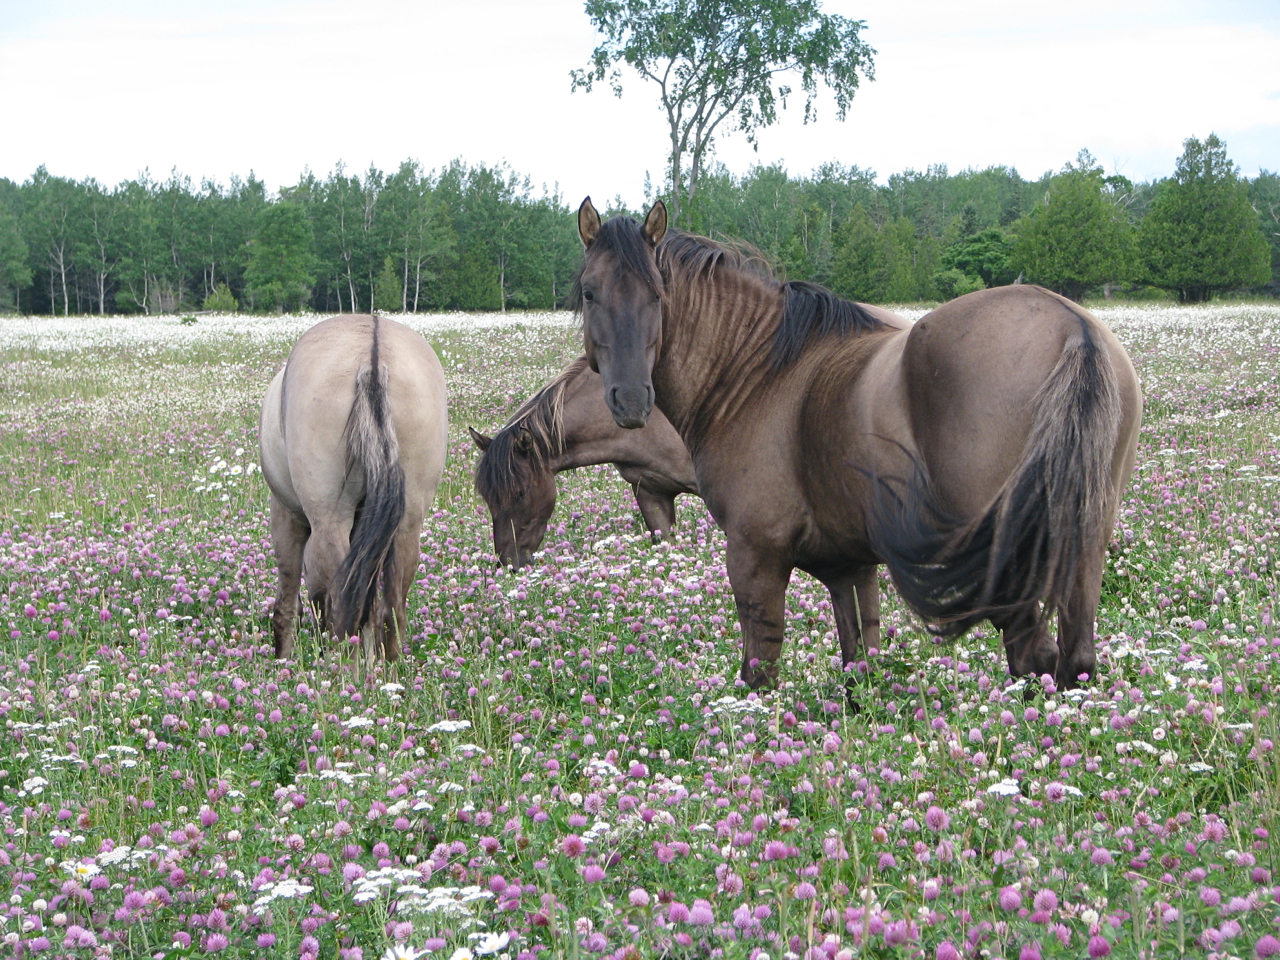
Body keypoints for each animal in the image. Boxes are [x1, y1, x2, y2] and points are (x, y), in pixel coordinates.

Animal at [259, 314, 448, 664]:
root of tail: (372, 358)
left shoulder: (287, 518)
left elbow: (288, 603)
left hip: (330, 520)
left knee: (340, 613)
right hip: (406, 524)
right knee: (390, 612)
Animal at [574, 197, 1142, 691]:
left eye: (657, 294)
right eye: (589, 292)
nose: (631, 400)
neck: (755, 374)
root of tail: (1073, 326)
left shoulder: (754, 554)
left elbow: (760, 672)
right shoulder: (849, 567)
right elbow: (859, 665)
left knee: (1034, 660)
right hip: (1081, 546)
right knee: (1076, 661)